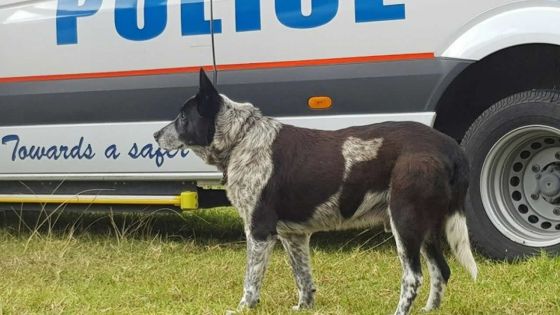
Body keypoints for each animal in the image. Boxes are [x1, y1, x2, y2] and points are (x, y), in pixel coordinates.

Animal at [153, 69, 476, 315]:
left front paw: (245, 307)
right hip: (426, 227)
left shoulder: (259, 231)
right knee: (441, 271)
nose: (155, 135)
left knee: (414, 277)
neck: (242, 138)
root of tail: (450, 147)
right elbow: (303, 278)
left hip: (405, 222)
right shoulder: (293, 235)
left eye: (182, 118)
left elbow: (251, 280)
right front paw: (303, 307)